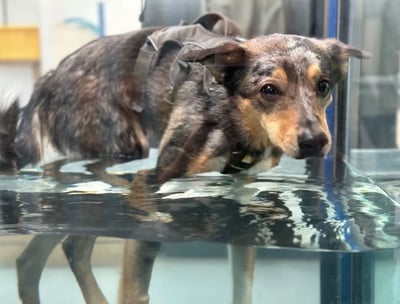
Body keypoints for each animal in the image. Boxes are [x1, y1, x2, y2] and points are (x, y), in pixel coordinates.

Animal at [0, 13, 368, 304]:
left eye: (323, 85)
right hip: (118, 151)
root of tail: (47, 80)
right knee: (74, 245)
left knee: (31, 262)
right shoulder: (151, 190)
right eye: (268, 90)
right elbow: (135, 291)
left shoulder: (241, 203)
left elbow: (242, 289)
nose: (315, 142)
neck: (231, 117)